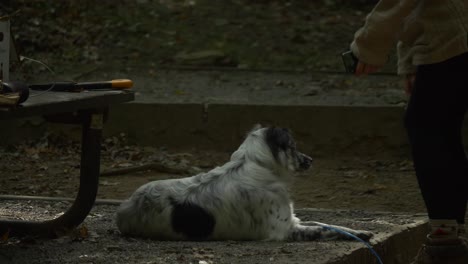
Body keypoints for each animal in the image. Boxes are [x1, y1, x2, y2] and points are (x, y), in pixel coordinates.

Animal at [117, 126, 372, 241]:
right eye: (293, 146)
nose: (310, 160)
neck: (256, 166)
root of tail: (124, 209)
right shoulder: (283, 230)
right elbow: (323, 230)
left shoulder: (293, 219)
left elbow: (330, 225)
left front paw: (361, 231)